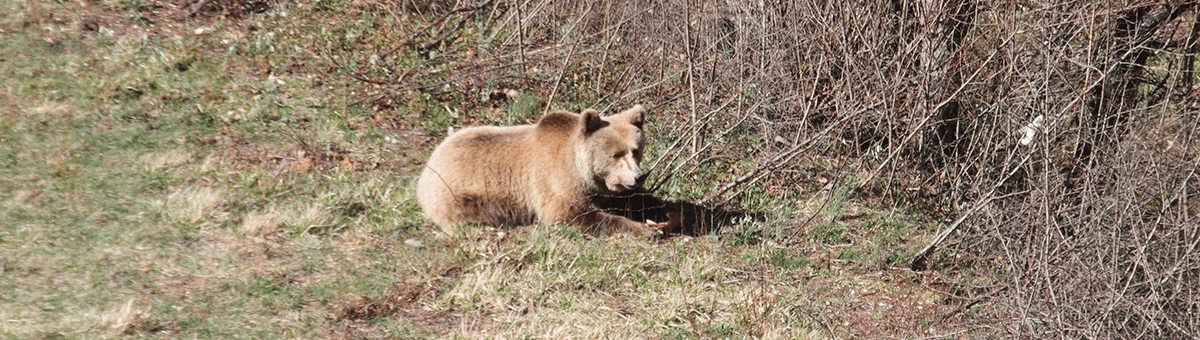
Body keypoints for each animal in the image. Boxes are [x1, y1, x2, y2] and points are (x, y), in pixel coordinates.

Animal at [415, 104, 676, 236]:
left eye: (636, 150)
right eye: (616, 154)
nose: (639, 176)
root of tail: (429, 164)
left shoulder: (603, 188)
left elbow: (636, 199)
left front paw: (667, 212)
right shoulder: (555, 181)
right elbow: (570, 213)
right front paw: (645, 229)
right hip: (462, 195)